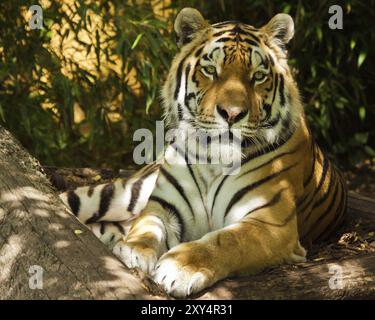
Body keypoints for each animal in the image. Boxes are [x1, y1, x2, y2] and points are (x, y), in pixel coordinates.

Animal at [59, 6, 346, 298]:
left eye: (258, 76)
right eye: (210, 70)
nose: (232, 114)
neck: (213, 160)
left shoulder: (271, 223)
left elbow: (227, 240)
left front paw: (179, 267)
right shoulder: (163, 206)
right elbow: (147, 226)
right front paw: (133, 251)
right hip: (120, 192)